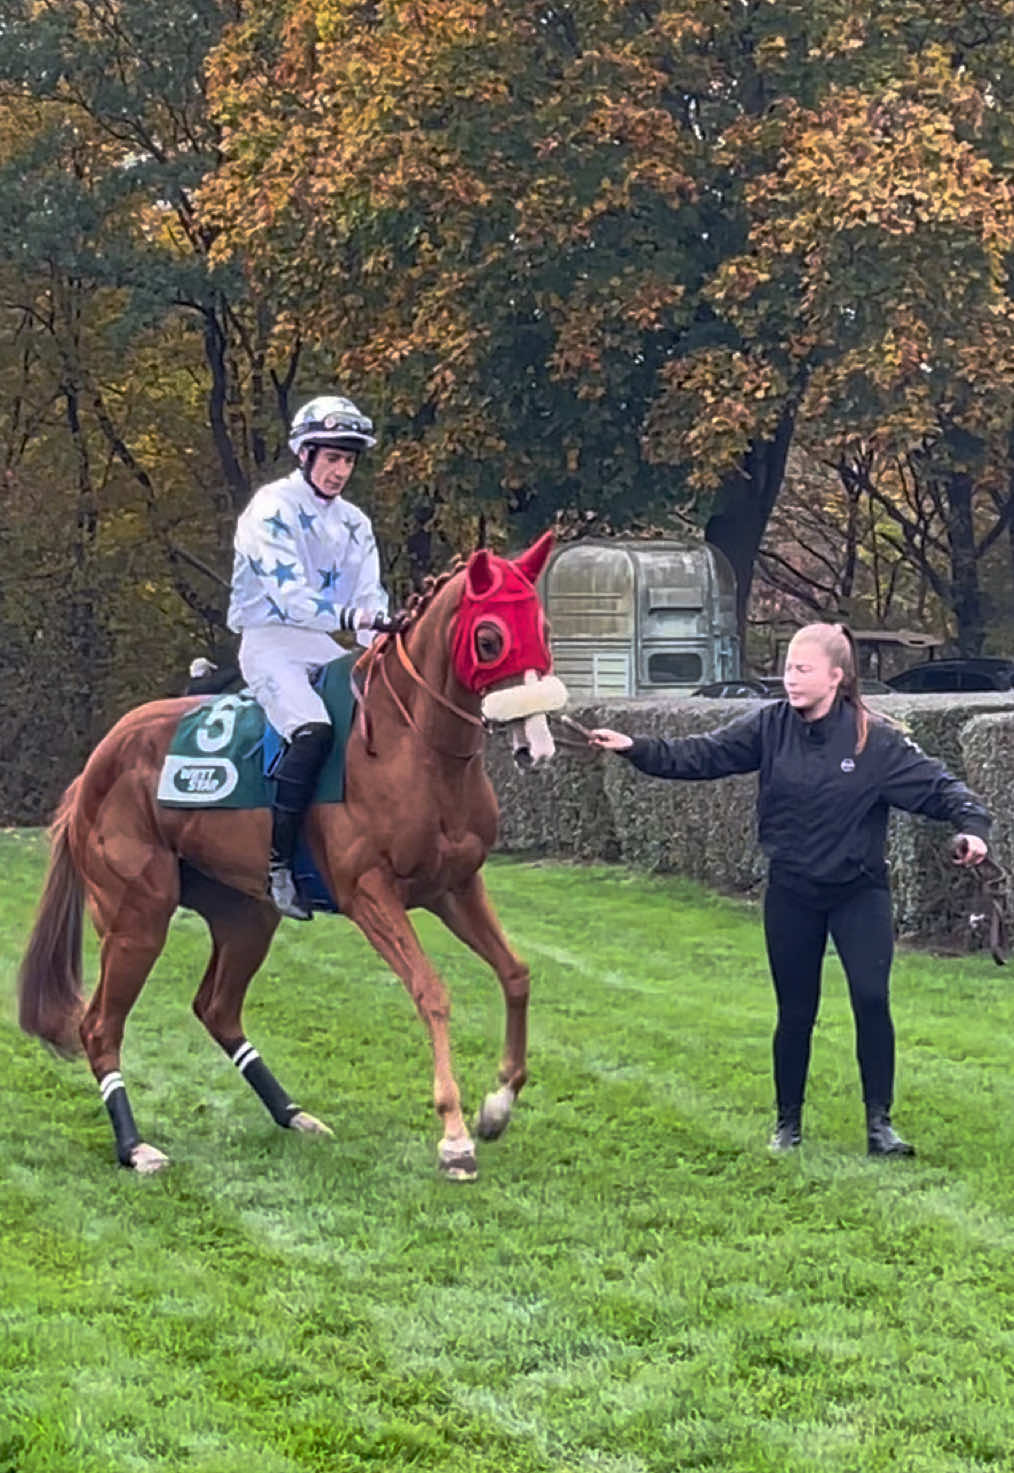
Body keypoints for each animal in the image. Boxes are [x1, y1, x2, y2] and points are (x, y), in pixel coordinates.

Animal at [17, 531, 567, 1180]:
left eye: (544, 627)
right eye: (489, 638)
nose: (537, 747)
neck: (412, 748)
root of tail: (96, 764)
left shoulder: (455, 887)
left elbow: (516, 973)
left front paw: (497, 1106)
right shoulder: (370, 894)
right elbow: (431, 992)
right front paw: (455, 1137)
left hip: (246, 915)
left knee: (217, 1009)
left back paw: (293, 1114)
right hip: (137, 918)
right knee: (100, 1026)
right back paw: (135, 1146)